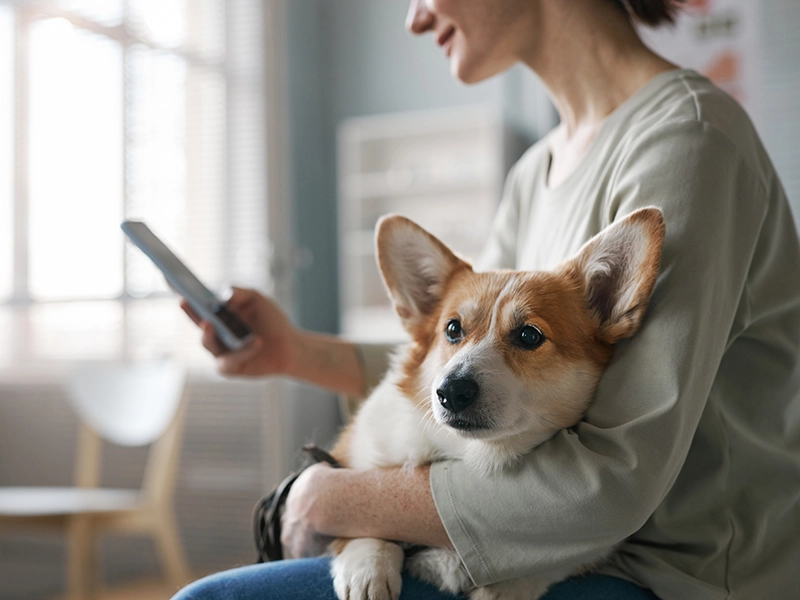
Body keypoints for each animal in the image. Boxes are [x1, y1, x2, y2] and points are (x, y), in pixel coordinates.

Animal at [324, 207, 664, 600]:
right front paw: (369, 566)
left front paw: (503, 588)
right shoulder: (351, 460)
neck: (469, 454)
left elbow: (545, 567)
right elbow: (362, 520)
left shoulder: (595, 547)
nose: (450, 391)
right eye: (452, 329)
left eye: (529, 335)